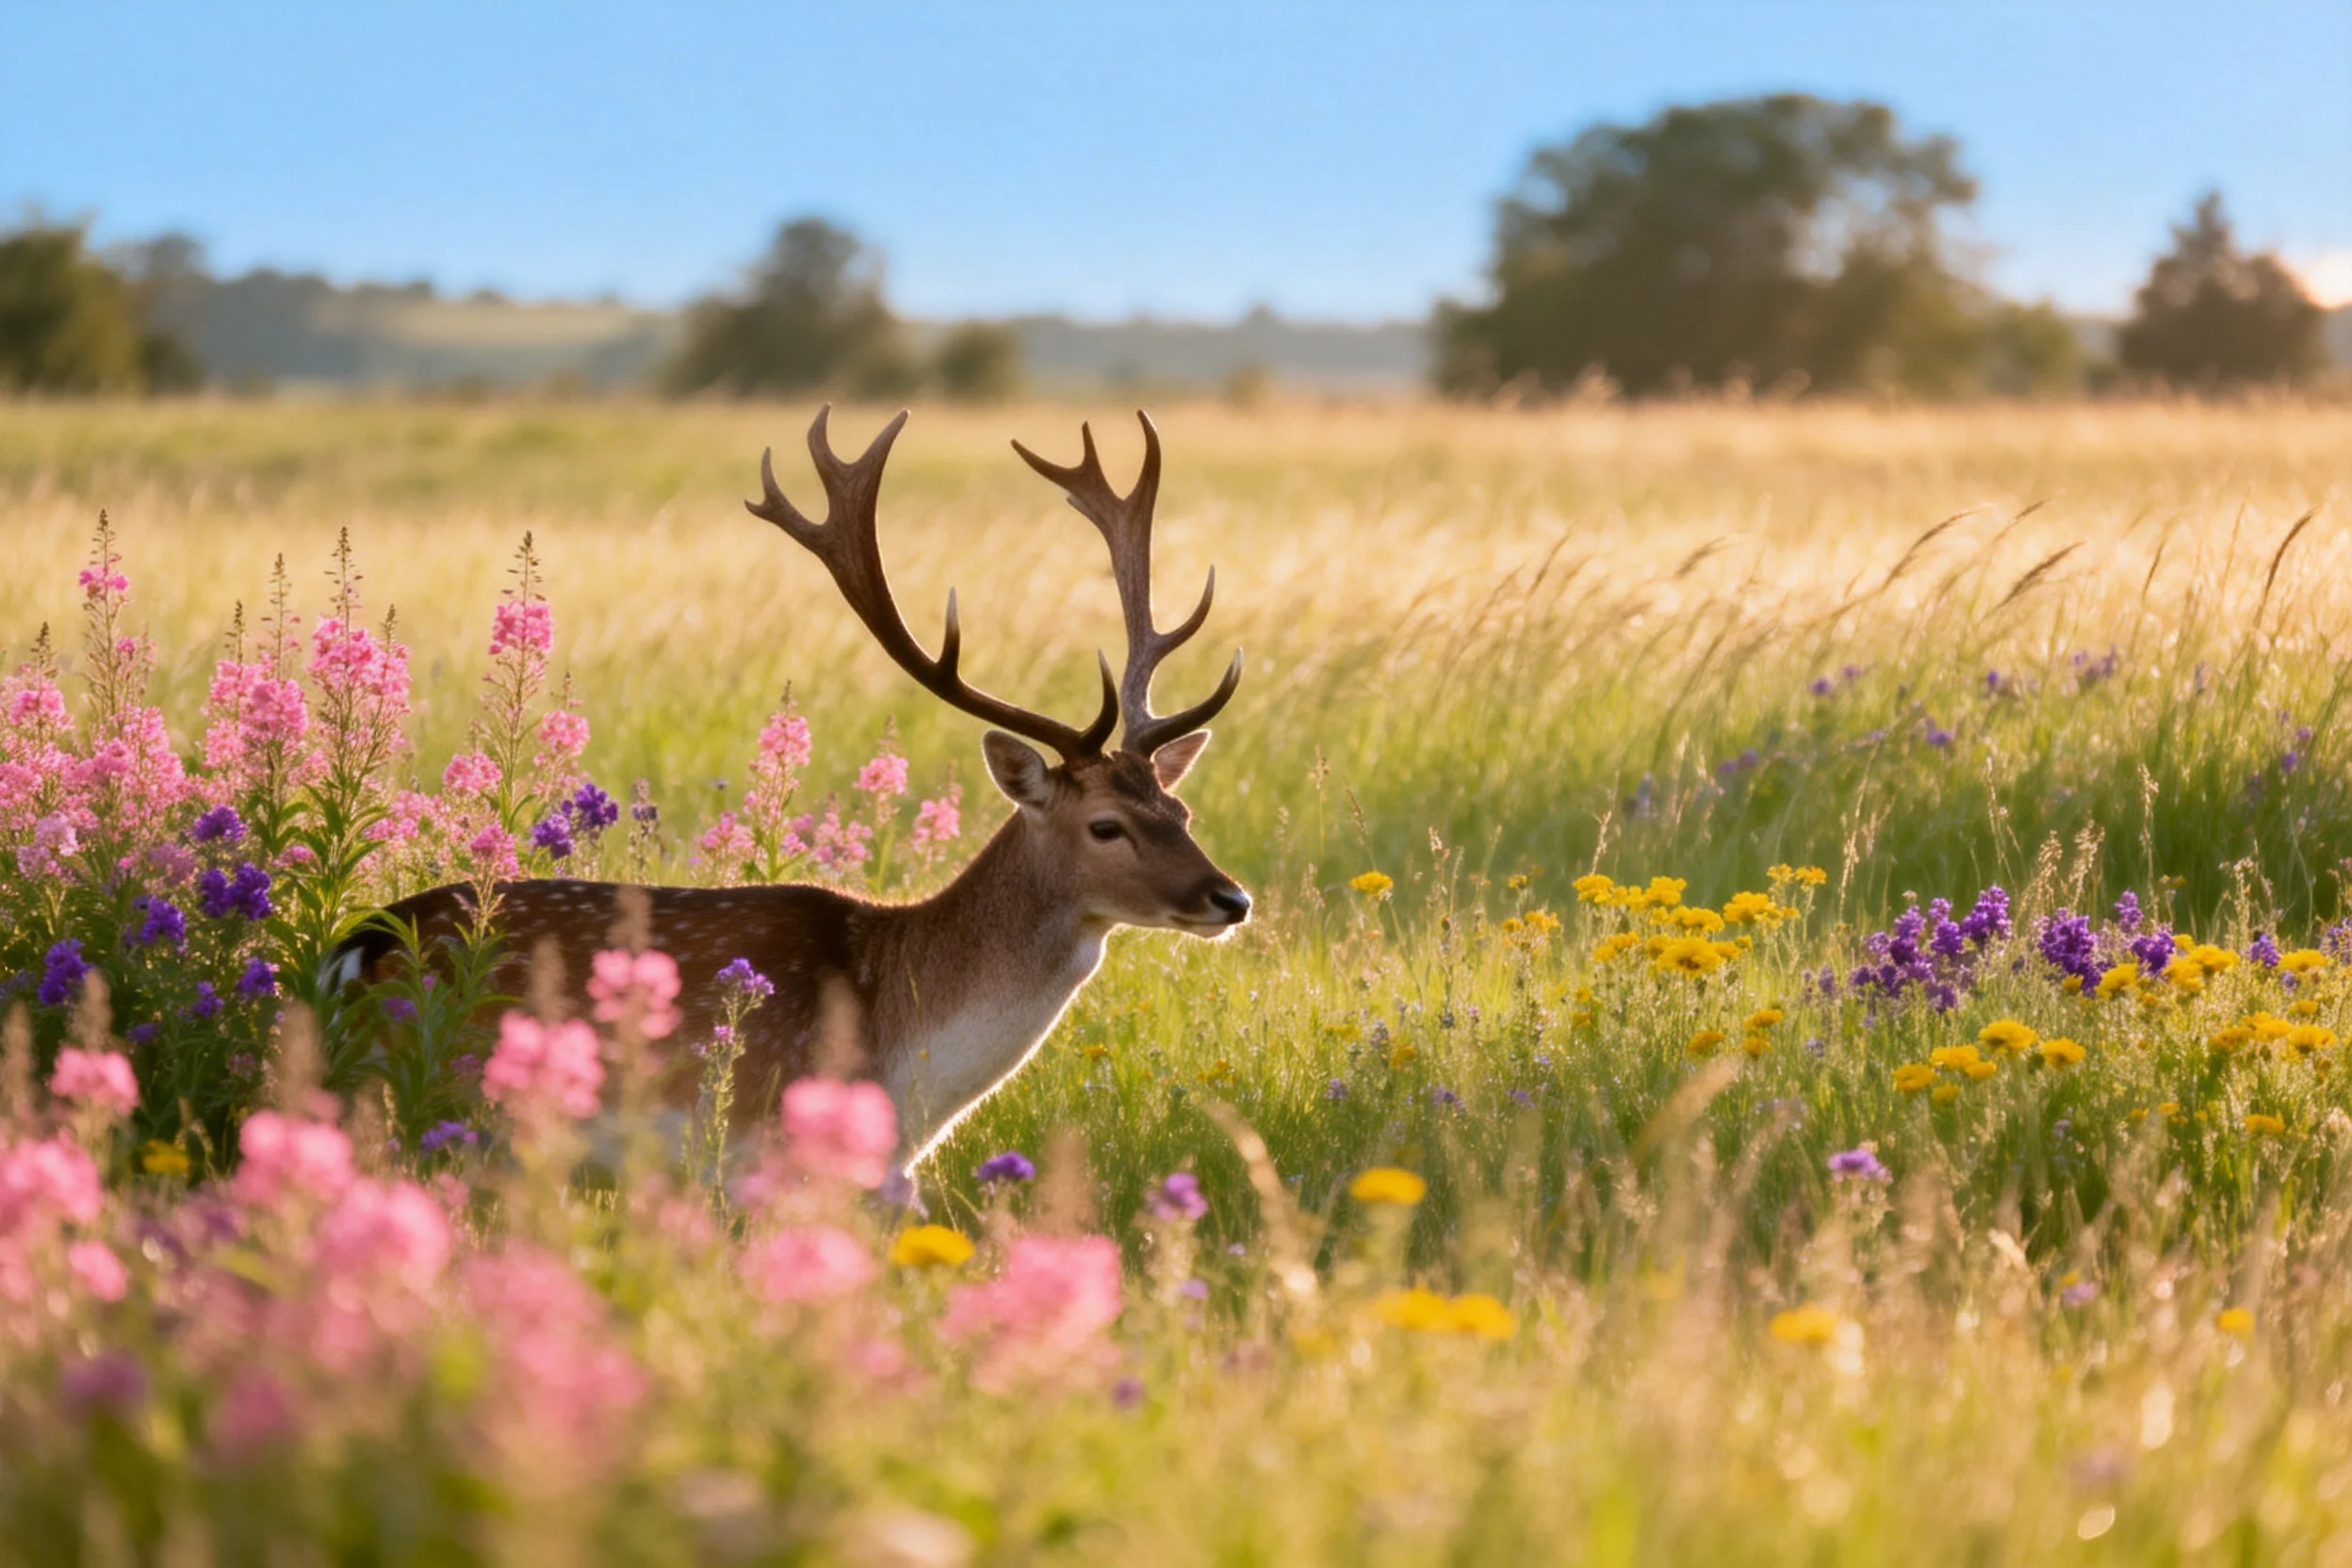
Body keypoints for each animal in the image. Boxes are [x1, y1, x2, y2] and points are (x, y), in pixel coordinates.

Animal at [341, 407, 1249, 1176]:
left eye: (1179, 810)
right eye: (1105, 826)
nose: (1231, 898)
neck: (905, 1076)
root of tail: (359, 944)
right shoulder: (751, 1151)